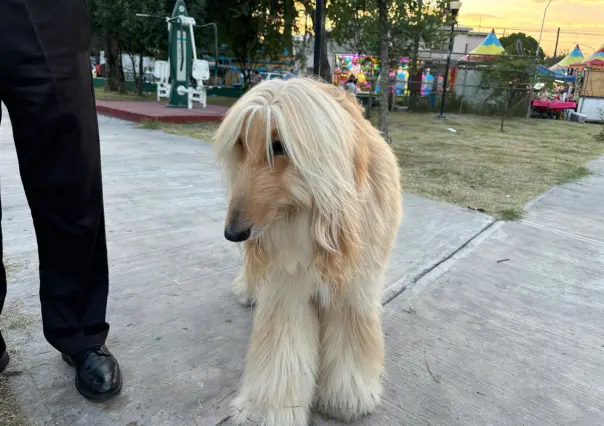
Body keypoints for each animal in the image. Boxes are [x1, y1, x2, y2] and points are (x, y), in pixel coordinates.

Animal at [215, 77, 404, 426]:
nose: (233, 233)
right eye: (241, 144)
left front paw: (348, 395)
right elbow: (282, 345)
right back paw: (248, 289)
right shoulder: (287, 282)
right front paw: (269, 409)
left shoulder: (356, 283)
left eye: (279, 146)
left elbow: (351, 334)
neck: (313, 215)